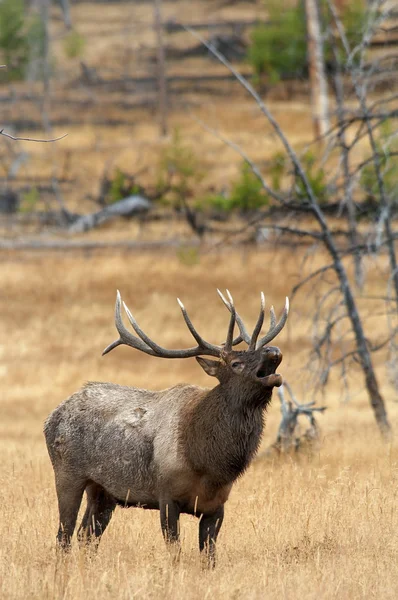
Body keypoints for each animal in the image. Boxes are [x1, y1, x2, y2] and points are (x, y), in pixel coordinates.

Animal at [44, 288, 290, 564]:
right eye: (236, 363)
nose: (273, 350)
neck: (209, 464)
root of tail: (51, 417)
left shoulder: (217, 505)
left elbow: (209, 558)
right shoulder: (167, 496)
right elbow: (175, 552)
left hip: (103, 490)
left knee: (86, 535)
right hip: (67, 474)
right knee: (64, 534)